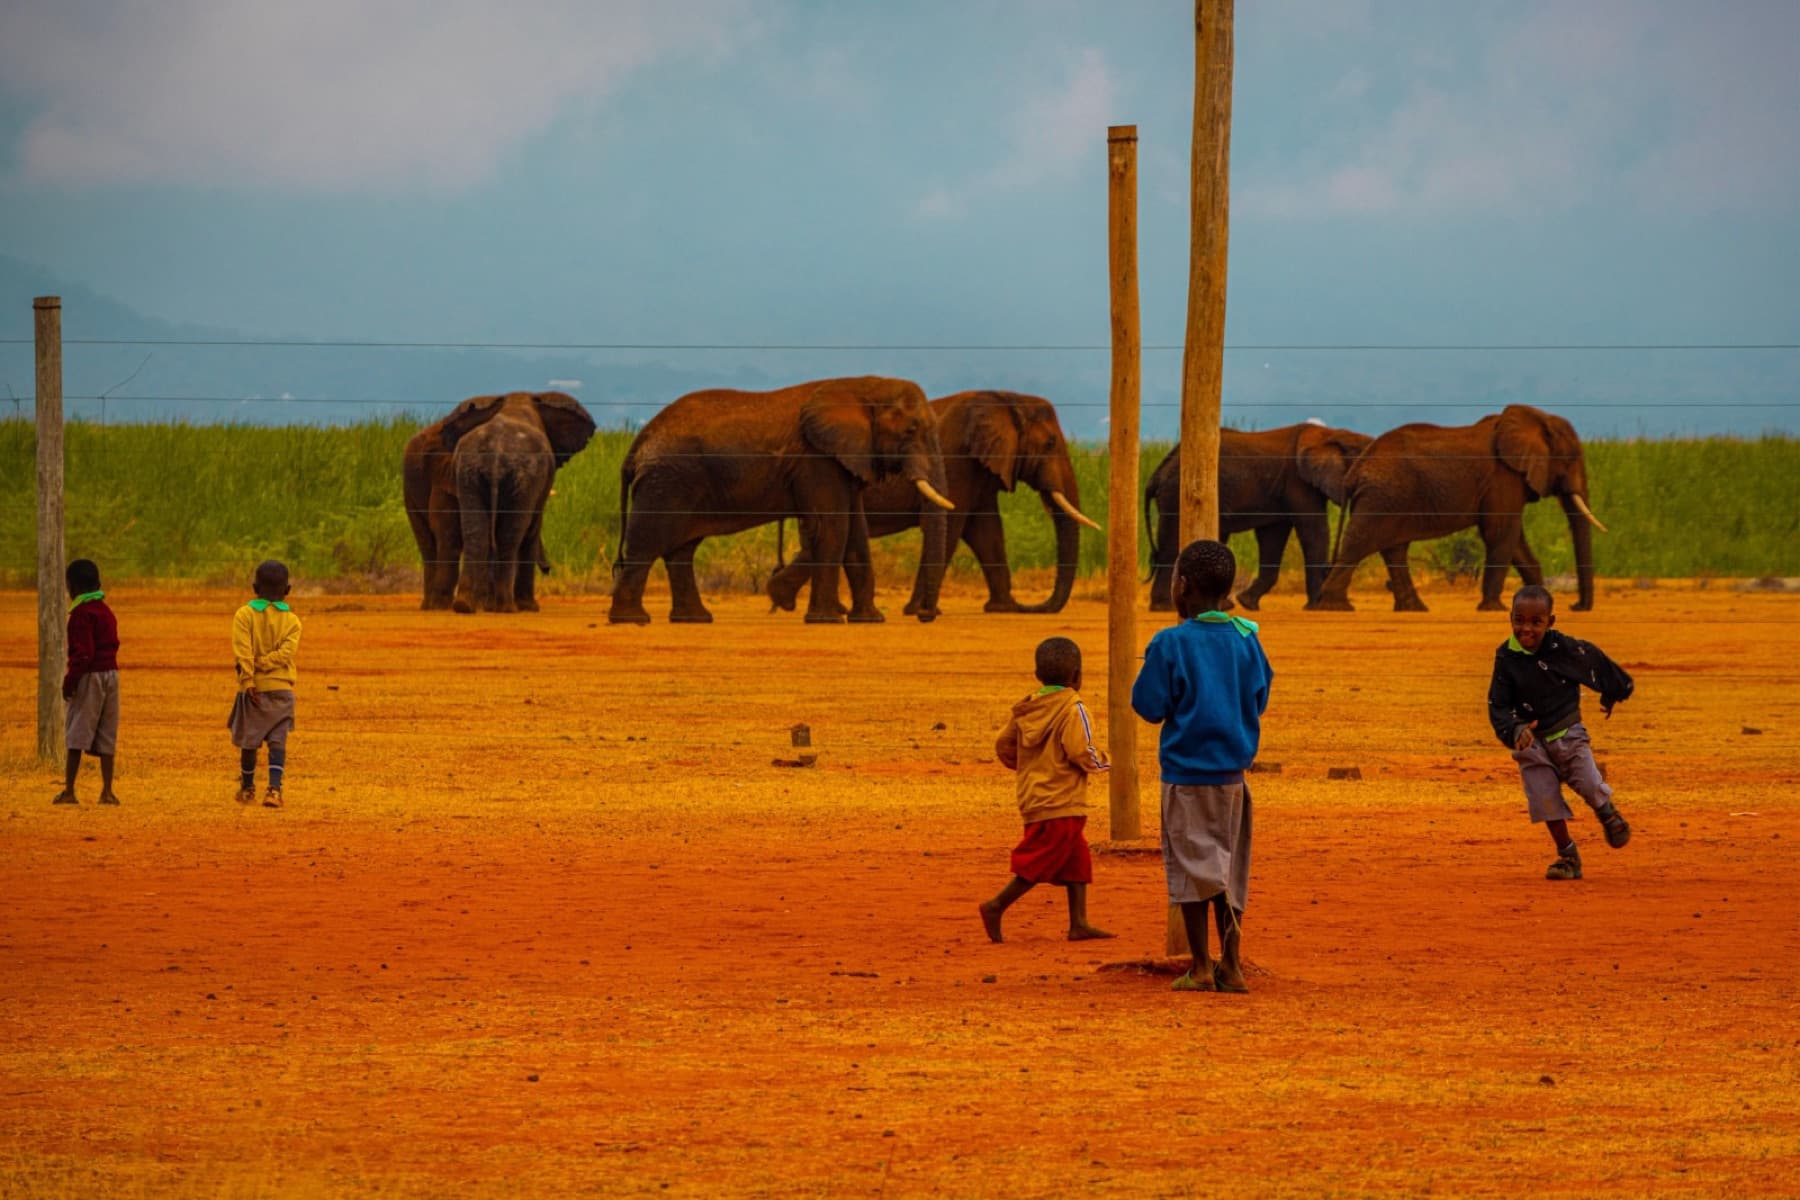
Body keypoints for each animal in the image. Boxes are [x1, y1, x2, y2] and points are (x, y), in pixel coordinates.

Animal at [402, 391, 596, 613]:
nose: (548, 569)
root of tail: (495, 453)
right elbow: (532, 527)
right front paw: (530, 608)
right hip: (522, 477)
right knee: (509, 536)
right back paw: (503, 607)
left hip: (469, 472)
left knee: (475, 534)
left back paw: (463, 606)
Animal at [607, 376, 954, 625]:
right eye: (911, 431)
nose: (926, 616)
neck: (862, 386)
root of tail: (637, 444)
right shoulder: (817, 459)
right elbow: (832, 527)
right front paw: (825, 620)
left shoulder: (847, 459)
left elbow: (856, 532)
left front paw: (869, 620)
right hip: (667, 481)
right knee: (647, 544)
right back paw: (632, 620)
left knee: (681, 551)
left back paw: (695, 619)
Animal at [763, 390, 1101, 618]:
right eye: (1050, 443)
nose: (1034, 607)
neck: (1006, 398)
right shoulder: (958, 461)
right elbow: (954, 527)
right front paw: (919, 611)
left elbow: (987, 533)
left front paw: (1003, 609)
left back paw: (789, 600)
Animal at [1145, 422, 1374, 610]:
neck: (1330, 434)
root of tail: (1159, 471)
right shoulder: (1297, 482)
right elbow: (1314, 530)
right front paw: (1318, 605)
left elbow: (1273, 537)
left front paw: (1247, 603)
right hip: (1176, 494)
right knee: (1170, 546)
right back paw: (1165, 607)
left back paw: (1221, 605)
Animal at [1309, 404, 1607, 613]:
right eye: (1570, 459)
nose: (1576, 607)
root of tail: (1356, 469)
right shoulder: (1503, 477)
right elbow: (1501, 532)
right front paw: (1493, 608)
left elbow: (1515, 541)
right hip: (1382, 496)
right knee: (1360, 543)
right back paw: (1336, 607)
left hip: (1387, 498)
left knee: (1394, 549)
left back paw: (1414, 609)